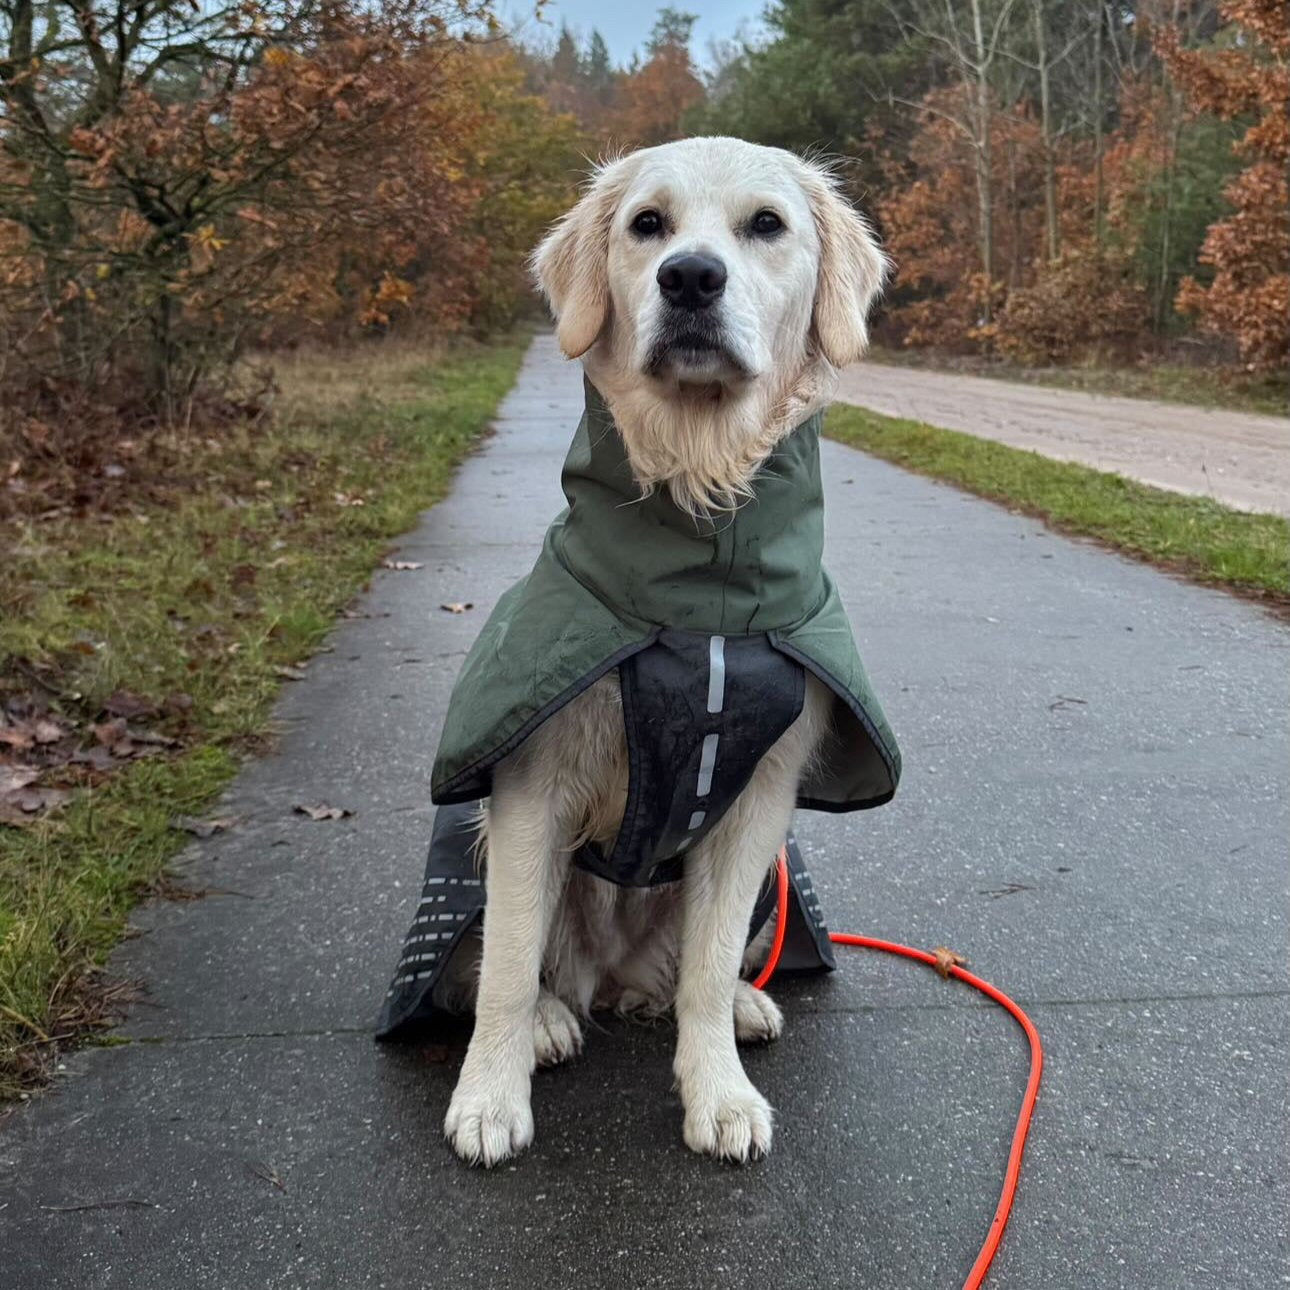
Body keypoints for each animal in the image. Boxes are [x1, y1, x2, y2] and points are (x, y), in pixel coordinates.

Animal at [443, 138, 887, 1171]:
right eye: (648, 224)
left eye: (766, 224)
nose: (689, 278)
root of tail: (612, 978)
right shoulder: (526, 792)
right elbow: (508, 966)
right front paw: (489, 1096)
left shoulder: (760, 801)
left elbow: (710, 965)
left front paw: (717, 1090)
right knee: (512, 970)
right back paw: (553, 1023)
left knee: (685, 976)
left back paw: (736, 1005)